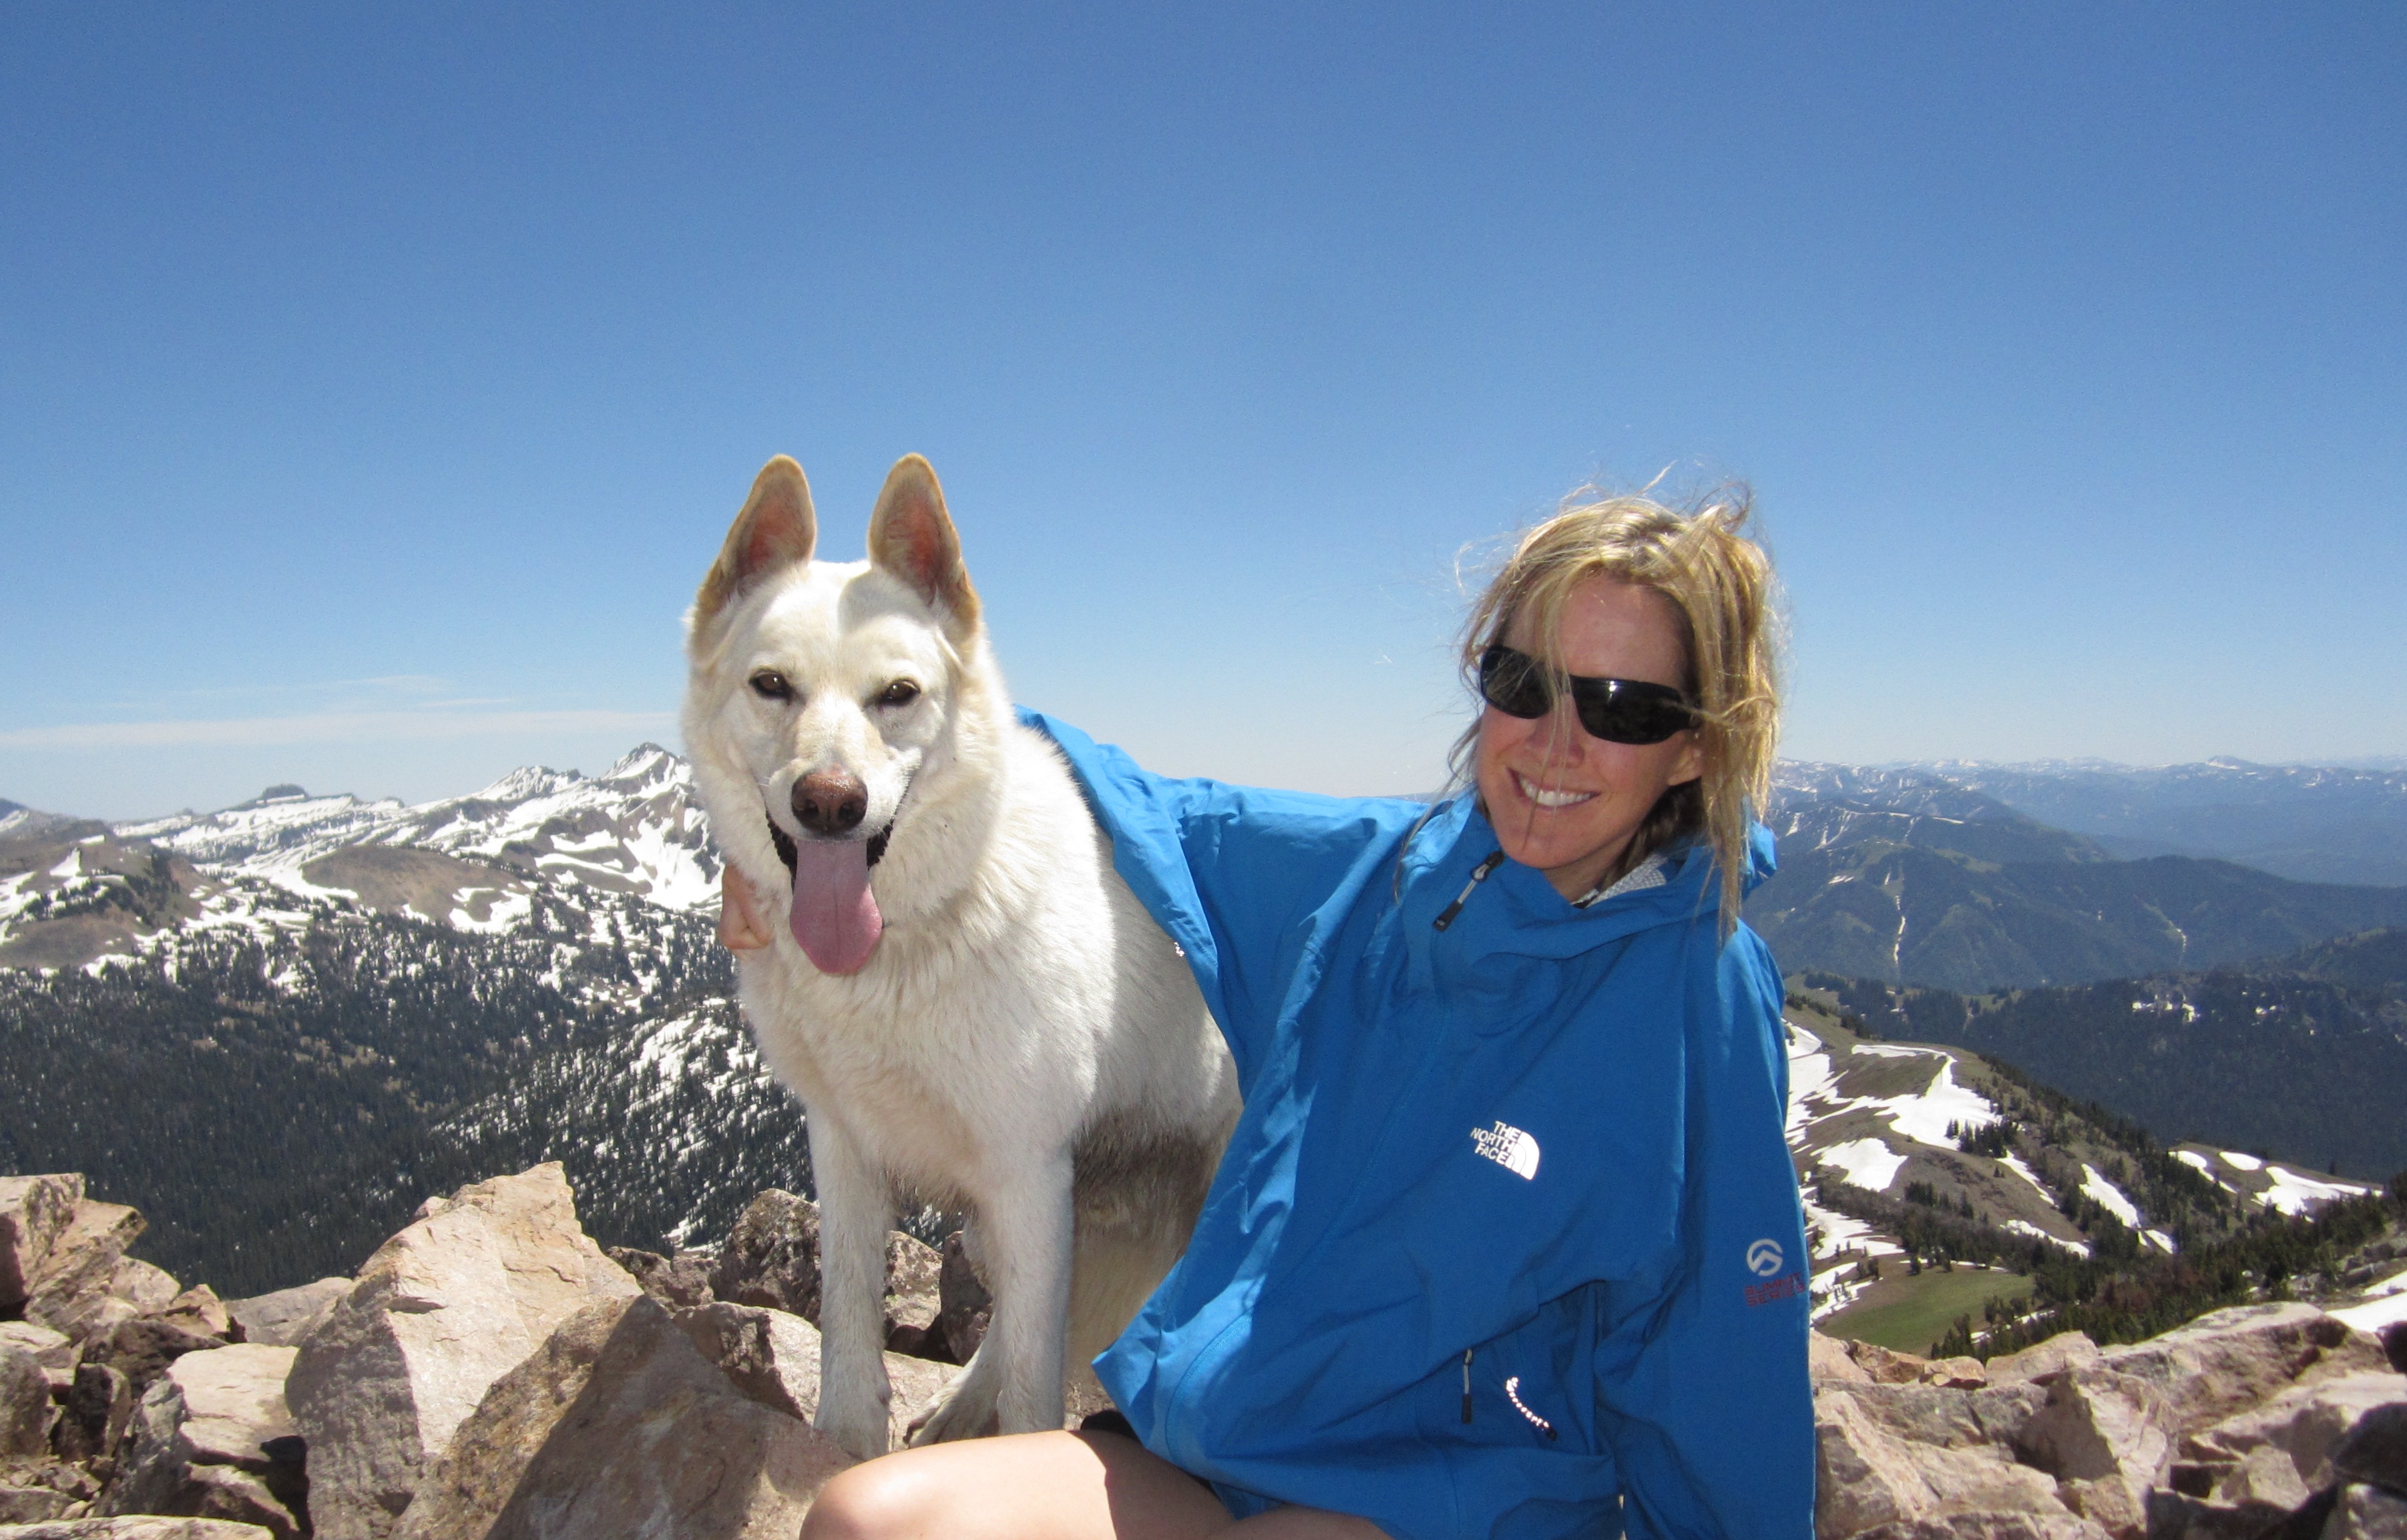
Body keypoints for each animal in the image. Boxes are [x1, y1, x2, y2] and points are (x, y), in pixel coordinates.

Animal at [683, 447, 1232, 1453]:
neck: (914, 934)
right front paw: (846, 1444)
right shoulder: (844, 1148)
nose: (831, 803)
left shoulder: (1027, 1174)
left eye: (898, 695)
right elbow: (848, 1321)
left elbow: (1032, 1385)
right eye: (771, 685)